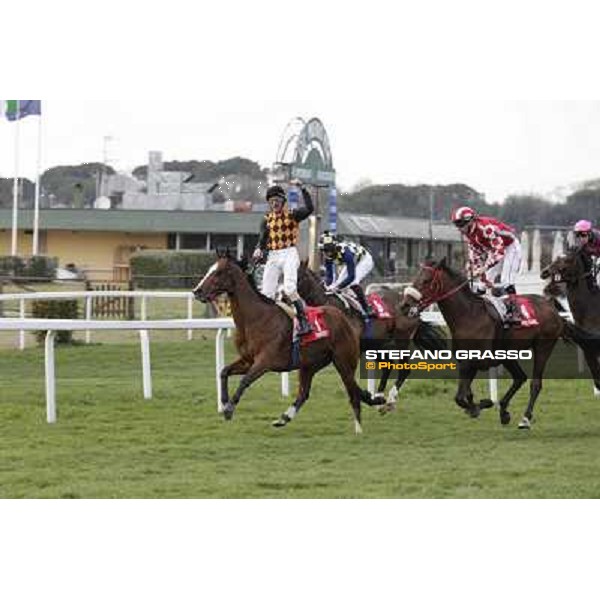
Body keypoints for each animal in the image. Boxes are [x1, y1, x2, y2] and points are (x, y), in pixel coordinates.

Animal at [193, 251, 376, 434]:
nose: (197, 291)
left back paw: (358, 429)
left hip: (344, 362)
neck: (255, 319)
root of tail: (344, 317)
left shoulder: (264, 362)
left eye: (219, 272)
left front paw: (229, 409)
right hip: (309, 365)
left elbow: (245, 380)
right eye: (210, 269)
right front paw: (224, 402)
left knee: (353, 392)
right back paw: (283, 418)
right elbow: (224, 371)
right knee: (304, 393)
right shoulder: (248, 360)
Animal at [298, 260, 448, 410]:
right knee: (388, 365)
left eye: (299, 277)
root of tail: (412, 307)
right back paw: (379, 397)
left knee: (404, 369)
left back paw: (389, 400)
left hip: (401, 341)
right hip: (378, 345)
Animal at [400, 256, 580, 426]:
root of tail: (553, 310)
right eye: (416, 278)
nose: (404, 305)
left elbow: (462, 397)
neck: (469, 316)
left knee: (535, 383)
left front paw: (482, 404)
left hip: (543, 346)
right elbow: (463, 395)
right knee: (520, 377)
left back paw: (525, 418)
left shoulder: (481, 361)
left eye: (426, 280)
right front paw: (477, 407)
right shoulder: (466, 362)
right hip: (509, 354)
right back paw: (504, 411)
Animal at [540, 247, 600, 392]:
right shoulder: (588, 350)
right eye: (557, 257)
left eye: (568, 259)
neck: (591, 307)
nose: (545, 272)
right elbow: (597, 378)